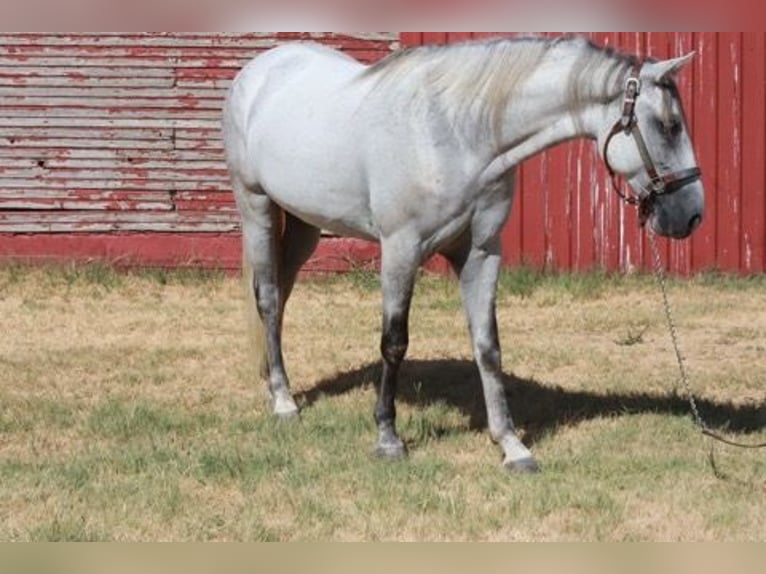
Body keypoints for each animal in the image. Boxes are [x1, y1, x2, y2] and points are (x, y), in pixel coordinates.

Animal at [222, 35, 704, 473]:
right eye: (668, 125)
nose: (691, 215)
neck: (457, 135)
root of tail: (260, 68)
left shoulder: (482, 252)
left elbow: (487, 346)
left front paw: (511, 446)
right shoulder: (400, 249)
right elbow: (394, 343)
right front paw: (388, 438)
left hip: (304, 225)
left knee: (280, 298)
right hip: (256, 207)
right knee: (268, 298)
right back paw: (284, 401)